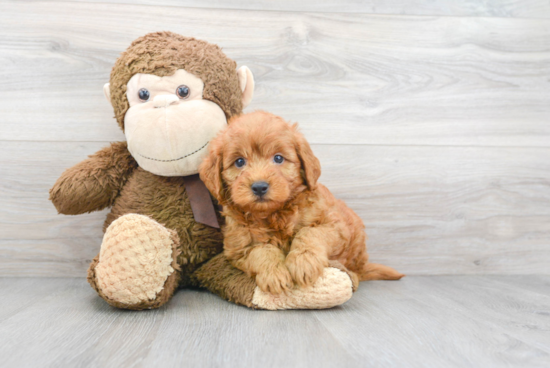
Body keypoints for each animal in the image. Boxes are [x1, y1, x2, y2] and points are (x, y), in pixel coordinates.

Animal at [199, 109, 406, 294]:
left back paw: (353, 276)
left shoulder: (334, 225)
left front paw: (303, 262)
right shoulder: (238, 248)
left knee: (357, 269)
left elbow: (309, 232)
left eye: (278, 158)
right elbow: (262, 250)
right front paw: (274, 273)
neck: (274, 214)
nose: (259, 187)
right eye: (239, 162)